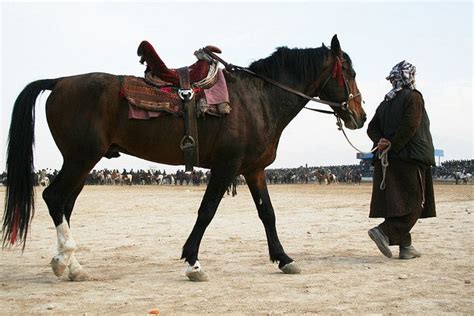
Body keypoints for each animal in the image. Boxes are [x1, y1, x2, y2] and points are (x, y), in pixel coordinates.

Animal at [1, 34, 364, 282]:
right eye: (350, 71)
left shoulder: (254, 169)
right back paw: (65, 262)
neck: (258, 100)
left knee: (65, 204)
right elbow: (207, 212)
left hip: (80, 162)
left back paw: (71, 265)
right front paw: (193, 262)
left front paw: (284, 258)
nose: (359, 115)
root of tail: (59, 82)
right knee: (54, 198)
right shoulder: (226, 166)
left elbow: (268, 214)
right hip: (80, 159)